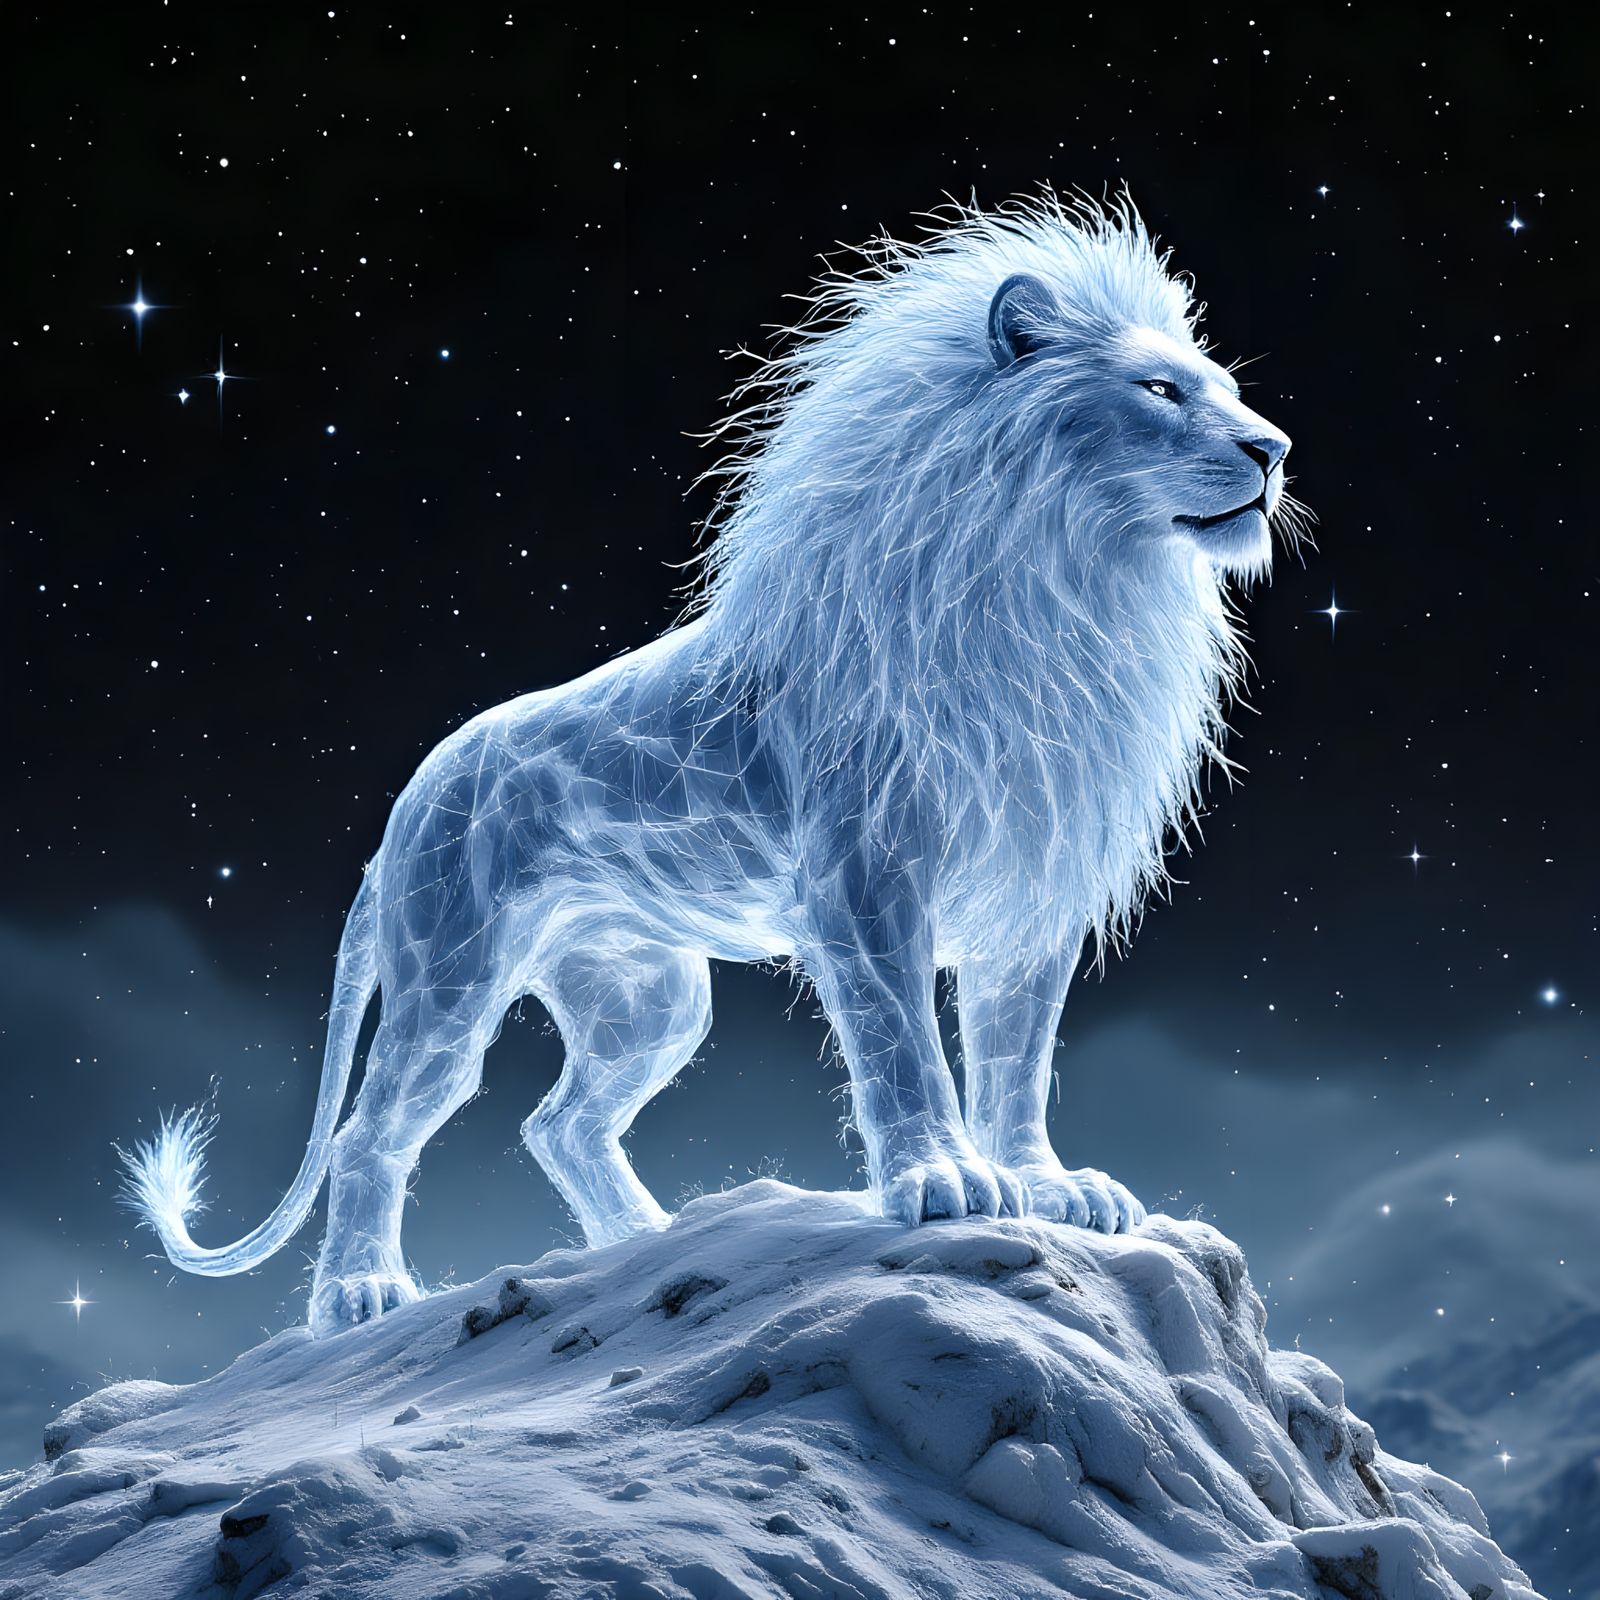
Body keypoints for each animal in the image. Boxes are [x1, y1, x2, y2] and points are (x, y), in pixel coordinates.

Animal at [123, 190, 1306, 1334]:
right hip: (448, 976)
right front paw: (942, 1181)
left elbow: (1017, 1063)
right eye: (1159, 389)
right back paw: (360, 1298)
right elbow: (903, 1047)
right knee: (372, 1136)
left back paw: (646, 1244)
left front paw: (1050, 1188)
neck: (1066, 584)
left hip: (647, 997)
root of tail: (406, 803)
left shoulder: (1034, 887)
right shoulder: (863, 881)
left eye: (1224, 388)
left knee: (558, 1122)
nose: (1275, 451)